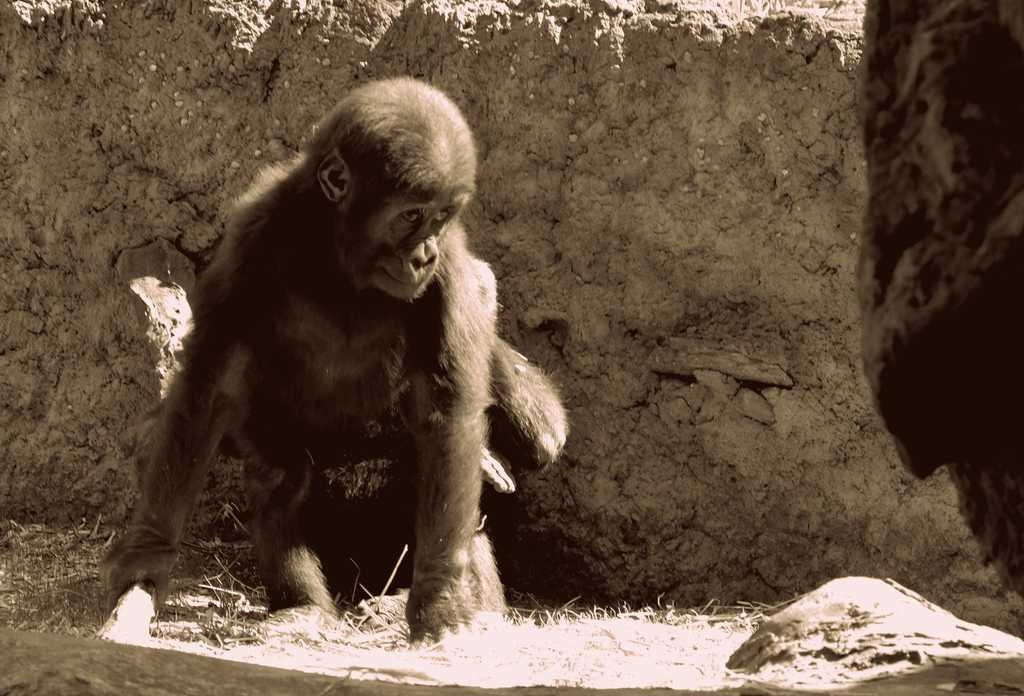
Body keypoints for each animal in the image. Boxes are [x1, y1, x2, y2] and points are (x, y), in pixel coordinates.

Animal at [100, 77, 568, 642]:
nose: (424, 255)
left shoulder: (450, 266)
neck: (340, 253)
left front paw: (440, 598)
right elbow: (207, 386)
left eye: (441, 218)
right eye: (411, 216)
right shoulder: (254, 233)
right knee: (281, 475)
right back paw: (305, 606)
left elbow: (449, 415)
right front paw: (146, 559)